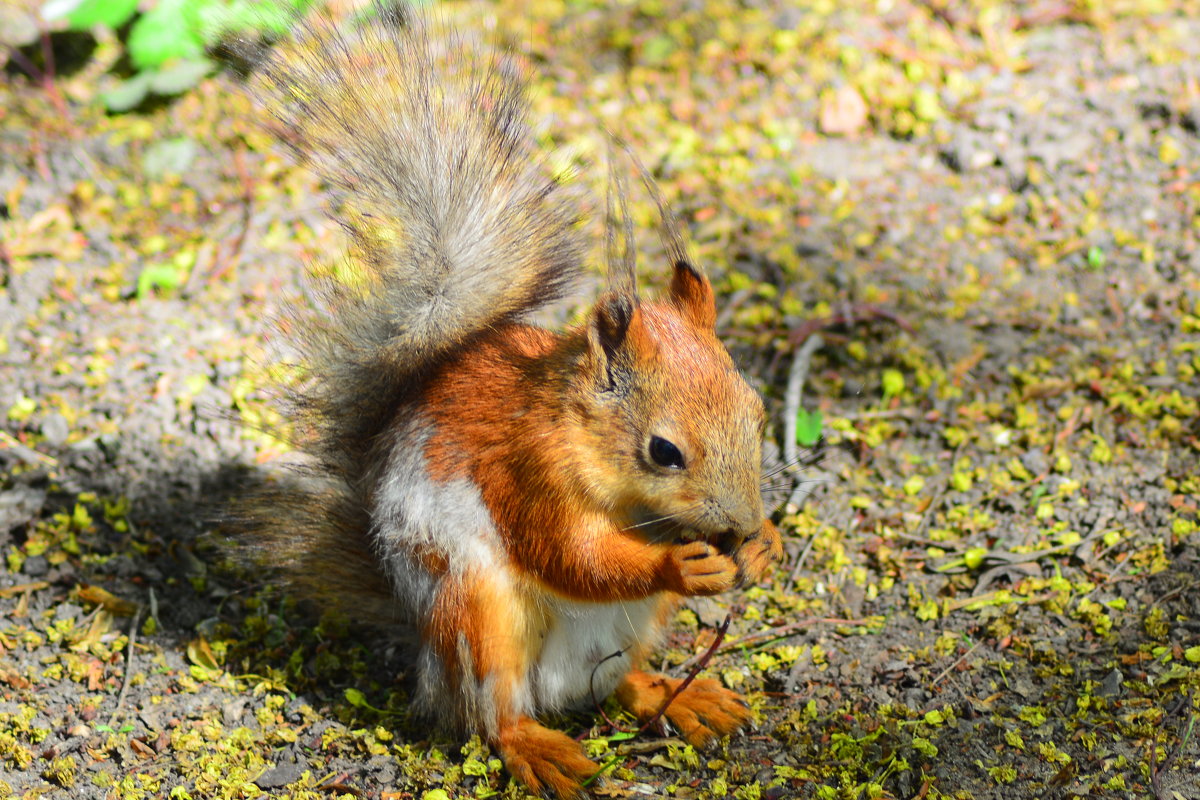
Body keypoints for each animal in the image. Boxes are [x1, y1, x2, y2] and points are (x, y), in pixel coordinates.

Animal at [231, 4, 787, 796]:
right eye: (663, 451)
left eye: (757, 411)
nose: (738, 524)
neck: (584, 438)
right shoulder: (530, 469)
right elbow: (568, 555)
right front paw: (680, 566)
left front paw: (766, 544)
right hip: (477, 618)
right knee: (488, 716)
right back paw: (538, 747)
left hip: (634, 630)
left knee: (618, 683)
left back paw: (677, 696)